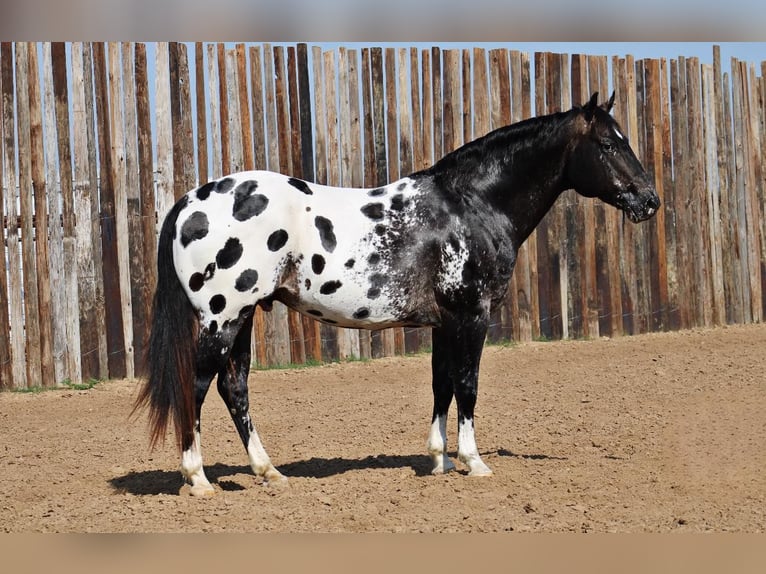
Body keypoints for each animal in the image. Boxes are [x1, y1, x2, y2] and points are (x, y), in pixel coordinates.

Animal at [132, 92, 660, 498]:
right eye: (608, 143)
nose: (649, 200)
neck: (470, 205)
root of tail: (189, 202)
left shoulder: (445, 322)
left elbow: (442, 386)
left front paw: (439, 461)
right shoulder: (471, 316)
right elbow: (467, 386)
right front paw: (474, 462)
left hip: (243, 318)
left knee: (234, 388)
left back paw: (269, 472)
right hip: (222, 317)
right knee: (198, 384)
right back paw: (198, 480)